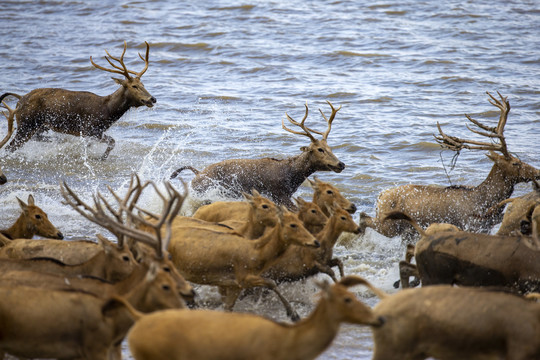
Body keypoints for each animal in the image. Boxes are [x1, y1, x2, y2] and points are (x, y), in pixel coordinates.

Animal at [0, 40, 156, 159]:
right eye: (134, 86)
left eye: (143, 84)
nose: (152, 99)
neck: (107, 111)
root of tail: (19, 100)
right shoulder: (90, 129)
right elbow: (112, 141)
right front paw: (102, 157)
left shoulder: (90, 133)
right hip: (26, 124)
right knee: (10, 147)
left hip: (39, 126)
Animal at [170, 100, 346, 208]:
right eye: (319, 149)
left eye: (329, 147)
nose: (341, 164)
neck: (291, 176)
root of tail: (197, 172)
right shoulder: (278, 194)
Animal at [358, 91, 540, 240]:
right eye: (516, 162)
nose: (537, 172)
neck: (487, 203)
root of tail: (380, 196)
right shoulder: (470, 225)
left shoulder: (485, 228)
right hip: (389, 225)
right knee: (363, 217)